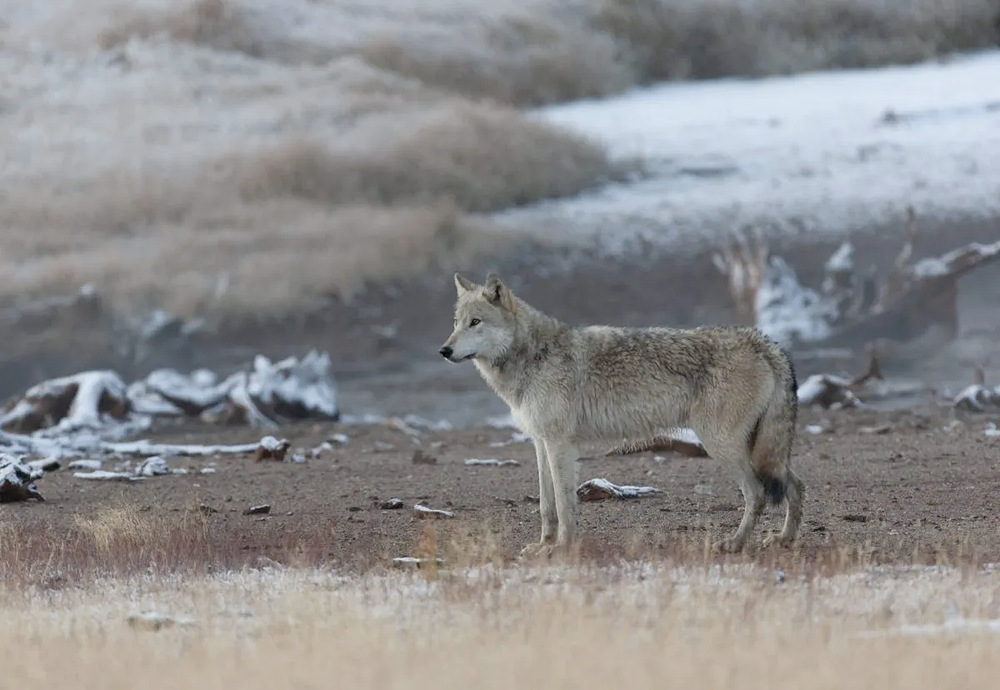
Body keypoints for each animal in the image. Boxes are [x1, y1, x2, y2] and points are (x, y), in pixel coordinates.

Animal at [438, 272, 804, 556]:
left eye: (475, 322)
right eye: (455, 323)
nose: (444, 350)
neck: (533, 357)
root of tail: (764, 342)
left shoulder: (560, 446)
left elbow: (565, 506)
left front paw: (562, 548)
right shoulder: (541, 444)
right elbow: (547, 506)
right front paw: (544, 545)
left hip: (722, 447)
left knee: (758, 493)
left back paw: (735, 544)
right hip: (757, 450)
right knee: (795, 484)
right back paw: (784, 539)